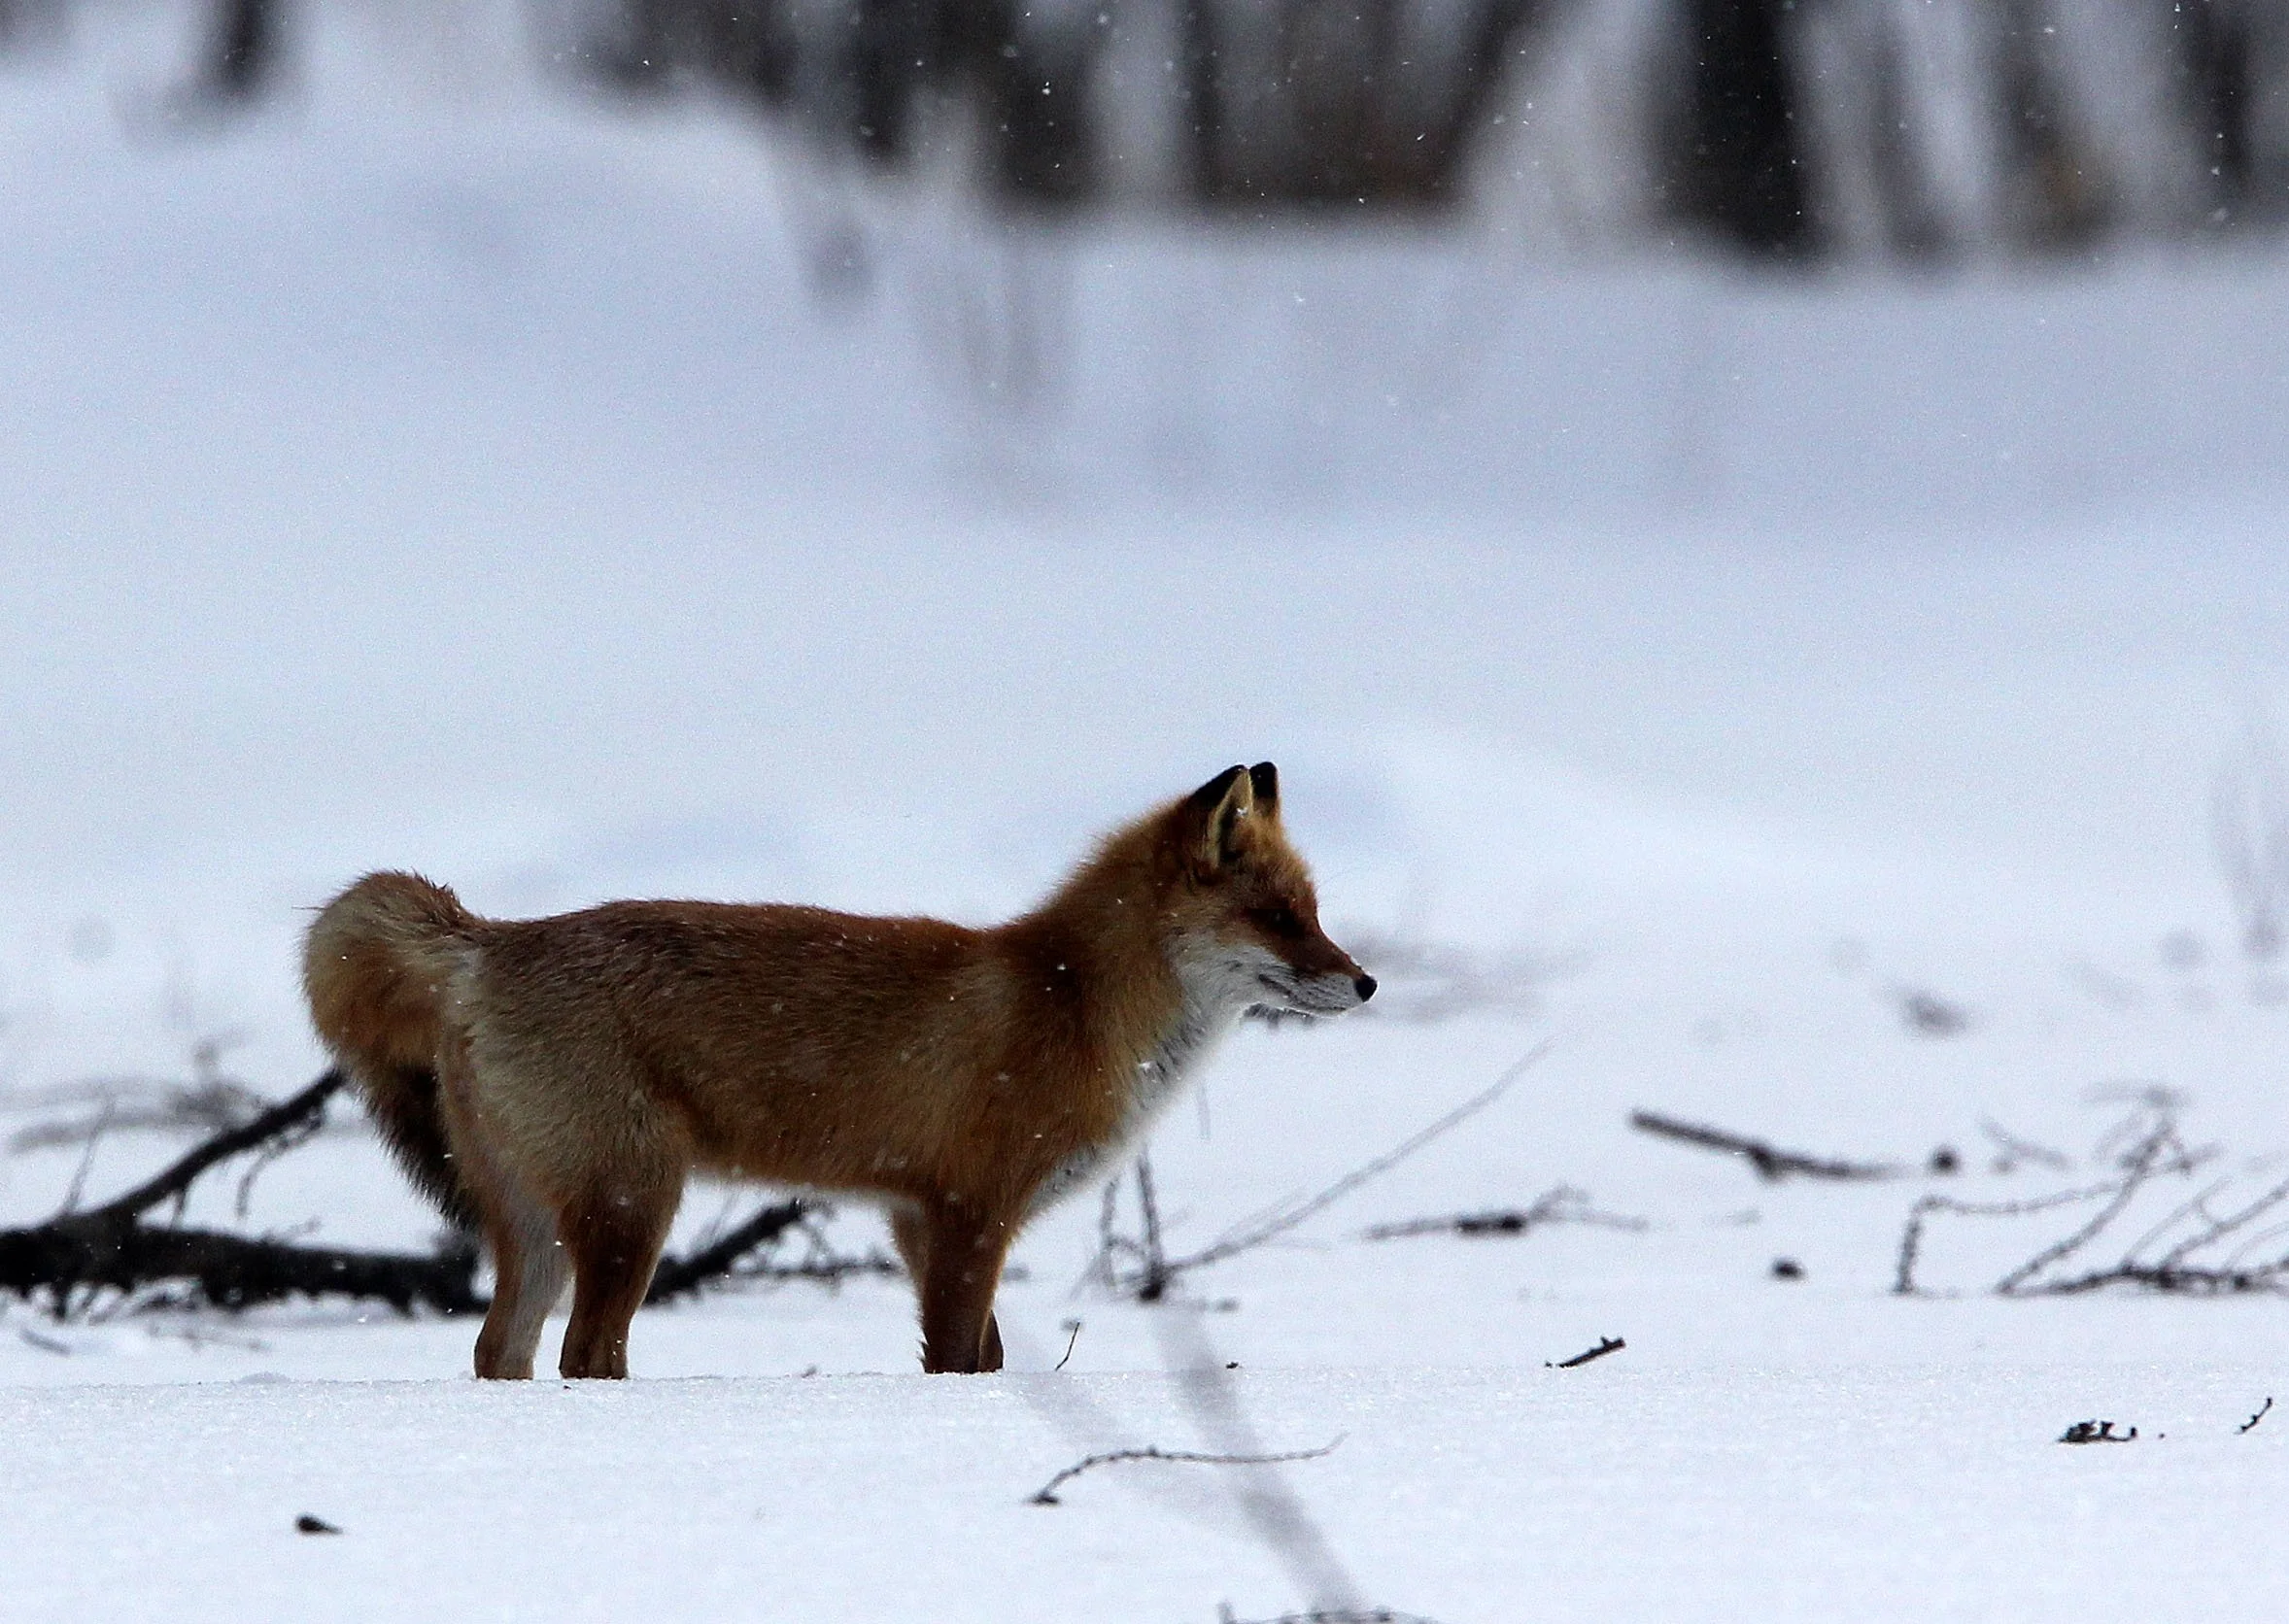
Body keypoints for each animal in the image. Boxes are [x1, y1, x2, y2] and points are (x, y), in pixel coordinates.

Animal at [302, 762, 1373, 1380]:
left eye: (1315, 911)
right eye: (1279, 916)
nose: (1365, 983)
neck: (1071, 1003)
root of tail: (485, 941)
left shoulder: (914, 1219)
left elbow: (981, 1357)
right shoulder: (970, 1211)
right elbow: (958, 1356)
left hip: (537, 1222)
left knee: (501, 1349)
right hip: (634, 1205)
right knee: (587, 1353)